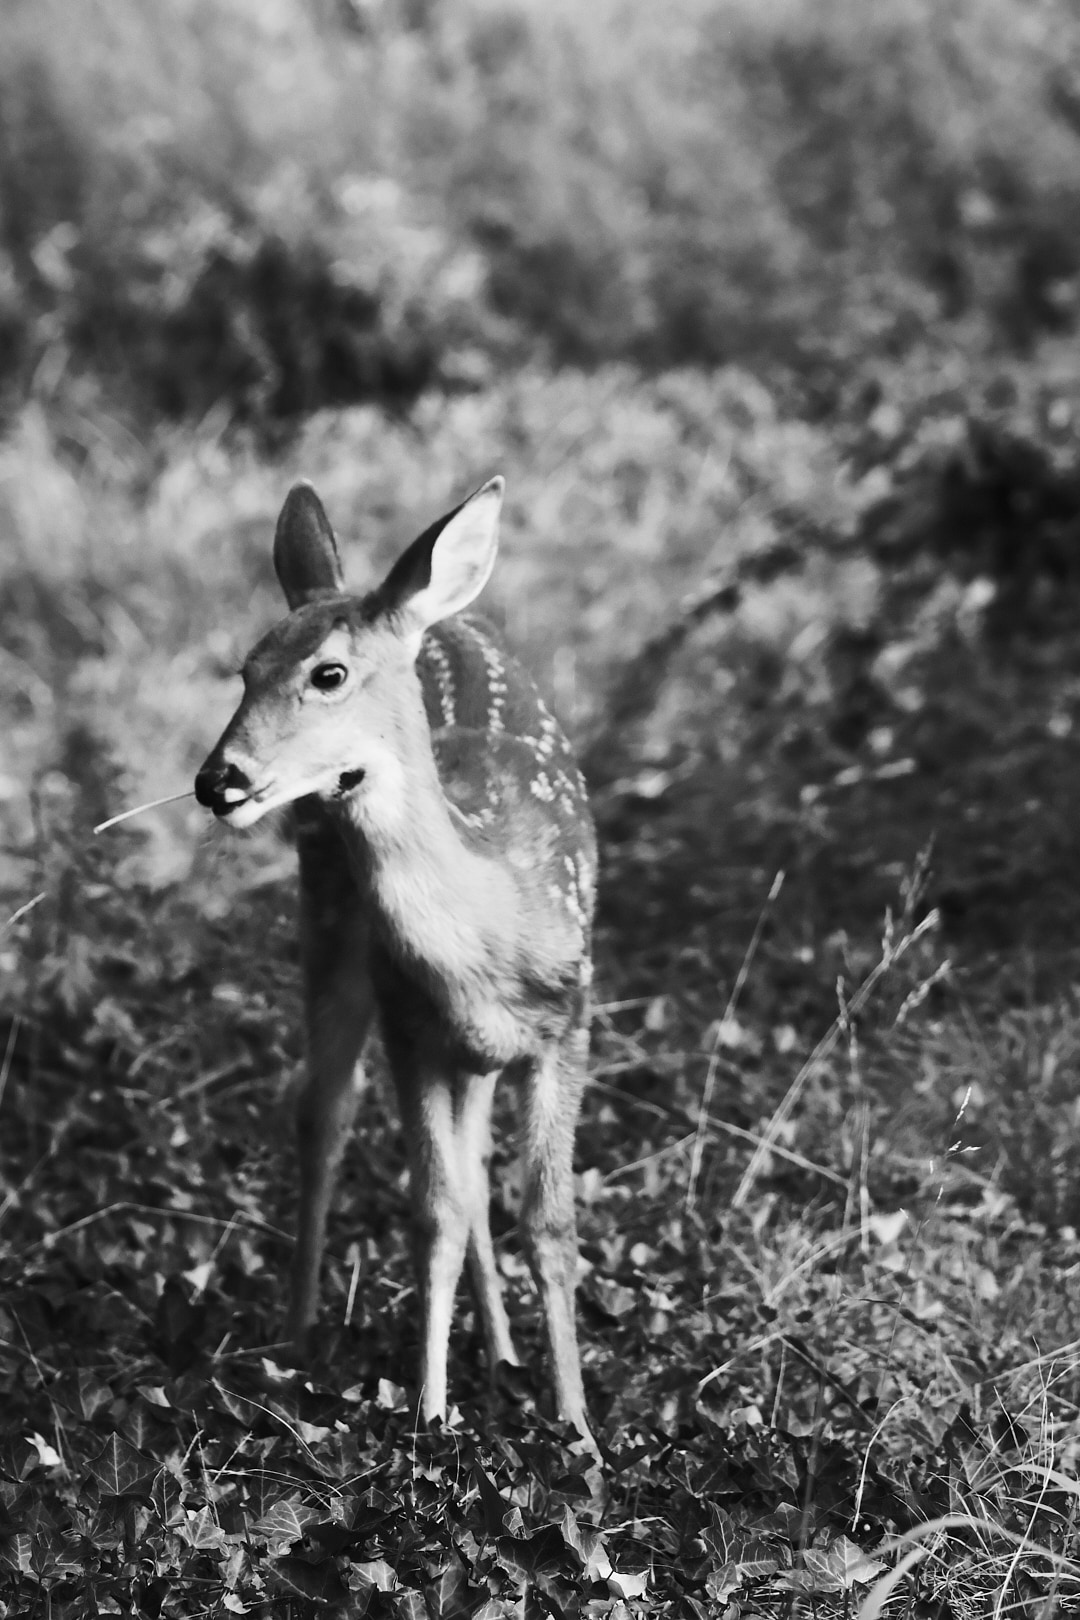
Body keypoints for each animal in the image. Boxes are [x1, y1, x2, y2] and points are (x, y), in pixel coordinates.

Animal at [194, 477, 598, 1449]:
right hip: (332, 930)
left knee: (476, 1164)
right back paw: (297, 1334)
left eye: (328, 674)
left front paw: (578, 1428)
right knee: (324, 1113)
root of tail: (437, 613)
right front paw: (430, 1411)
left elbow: (548, 1219)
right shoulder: (409, 1021)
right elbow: (433, 1212)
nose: (219, 781)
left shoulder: (569, 1020)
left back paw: (505, 1353)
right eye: (245, 670)